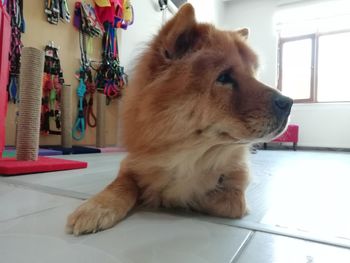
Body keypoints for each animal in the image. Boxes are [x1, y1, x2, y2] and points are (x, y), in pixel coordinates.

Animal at [66, 4, 292, 236]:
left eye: (253, 75)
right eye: (224, 77)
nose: (288, 102)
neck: (189, 156)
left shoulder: (235, 185)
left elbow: (218, 199)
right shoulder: (131, 164)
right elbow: (121, 185)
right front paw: (96, 207)